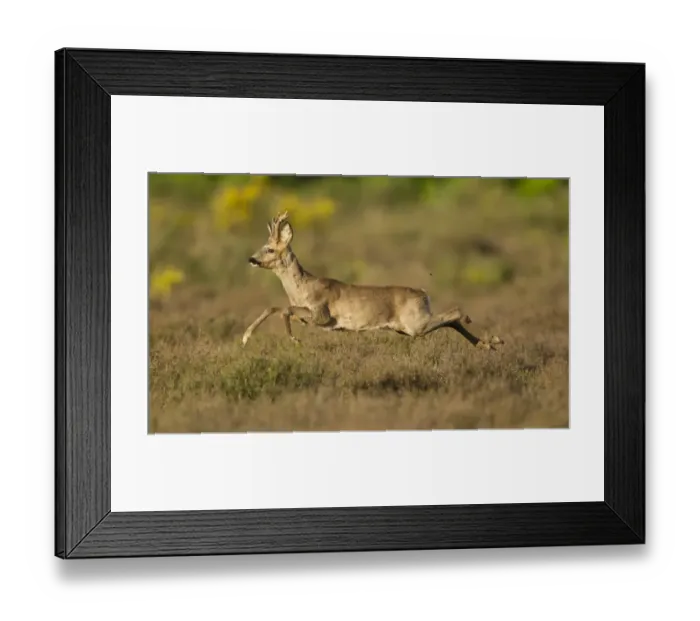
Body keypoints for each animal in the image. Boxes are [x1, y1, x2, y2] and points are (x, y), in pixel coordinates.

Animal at [241, 212, 504, 350]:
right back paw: (487, 344)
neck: (302, 288)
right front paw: (246, 336)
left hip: (414, 323)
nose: (251, 259)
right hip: (406, 327)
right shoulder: (307, 316)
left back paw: (488, 336)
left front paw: (292, 338)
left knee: (455, 313)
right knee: (450, 320)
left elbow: (282, 309)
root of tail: (424, 293)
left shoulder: (321, 314)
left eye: (270, 249)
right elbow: (275, 307)